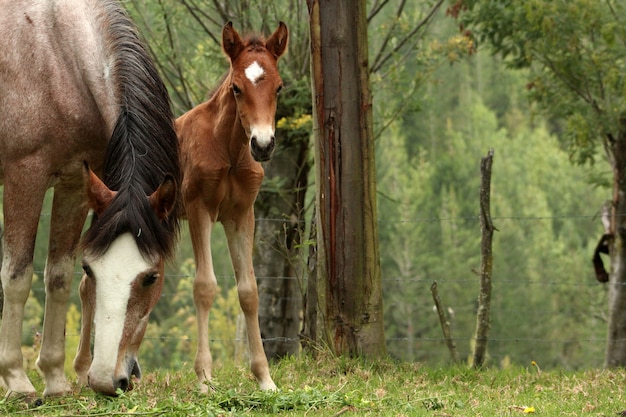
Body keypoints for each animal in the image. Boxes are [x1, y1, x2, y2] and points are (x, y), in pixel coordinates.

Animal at [0, 0, 180, 396]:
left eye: (151, 277)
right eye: (92, 270)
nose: (105, 381)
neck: (58, 58)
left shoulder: (75, 184)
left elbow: (58, 277)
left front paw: (55, 379)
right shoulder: (26, 176)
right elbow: (17, 277)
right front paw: (18, 381)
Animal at [176, 20, 288, 390]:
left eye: (279, 87)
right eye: (236, 88)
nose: (263, 145)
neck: (229, 150)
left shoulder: (241, 215)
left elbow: (249, 291)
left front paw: (264, 378)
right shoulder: (199, 209)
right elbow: (204, 286)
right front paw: (204, 379)